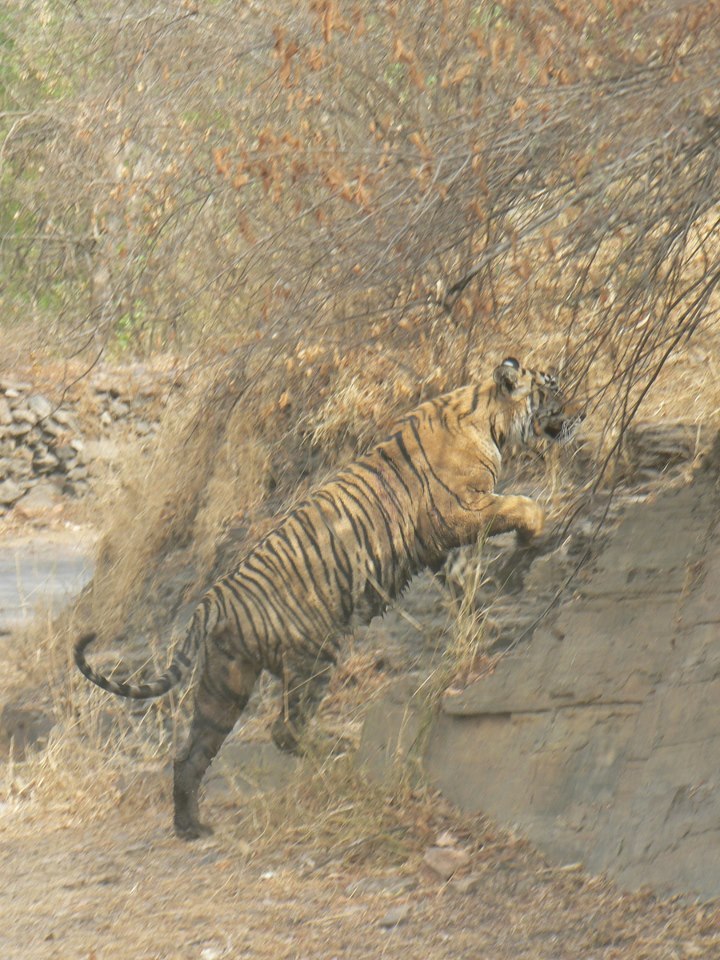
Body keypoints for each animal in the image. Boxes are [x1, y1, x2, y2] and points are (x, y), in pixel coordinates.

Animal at [74, 358, 580, 840]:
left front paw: (484, 621)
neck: (488, 417)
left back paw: (190, 827)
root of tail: (211, 600)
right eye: (554, 389)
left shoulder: (442, 545)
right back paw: (337, 749)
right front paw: (528, 545)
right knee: (284, 728)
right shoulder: (459, 511)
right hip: (313, 654)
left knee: (192, 753)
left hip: (226, 681)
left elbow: (465, 584)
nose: (583, 412)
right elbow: (523, 506)